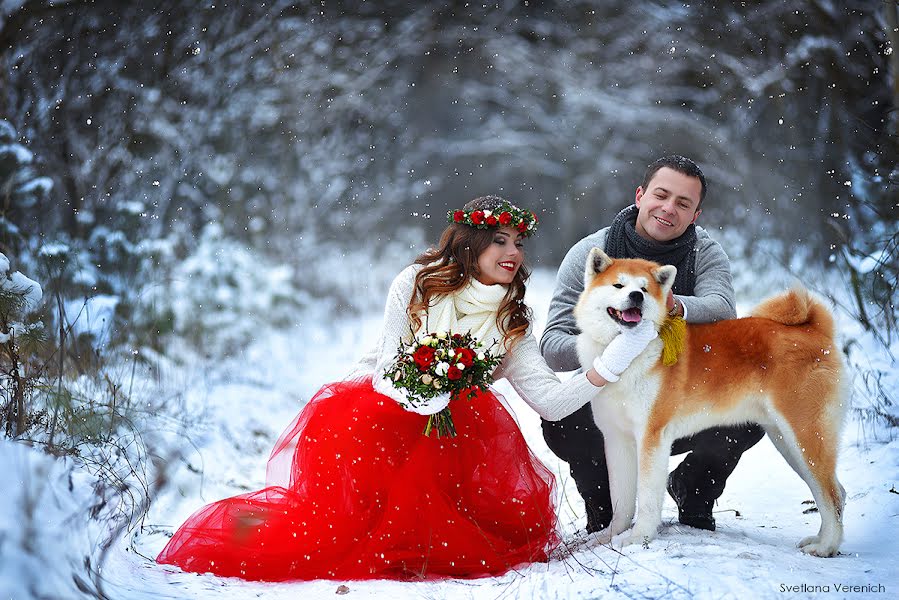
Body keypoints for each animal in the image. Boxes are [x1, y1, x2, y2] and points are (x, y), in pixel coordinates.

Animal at [572, 248, 848, 556]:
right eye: (618, 285)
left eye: (643, 289)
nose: (636, 297)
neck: (627, 352)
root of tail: (815, 331)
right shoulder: (617, 439)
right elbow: (621, 498)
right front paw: (609, 536)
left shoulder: (652, 437)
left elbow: (646, 497)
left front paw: (639, 537)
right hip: (787, 441)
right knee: (832, 492)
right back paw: (820, 540)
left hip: (804, 434)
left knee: (831, 494)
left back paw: (826, 547)